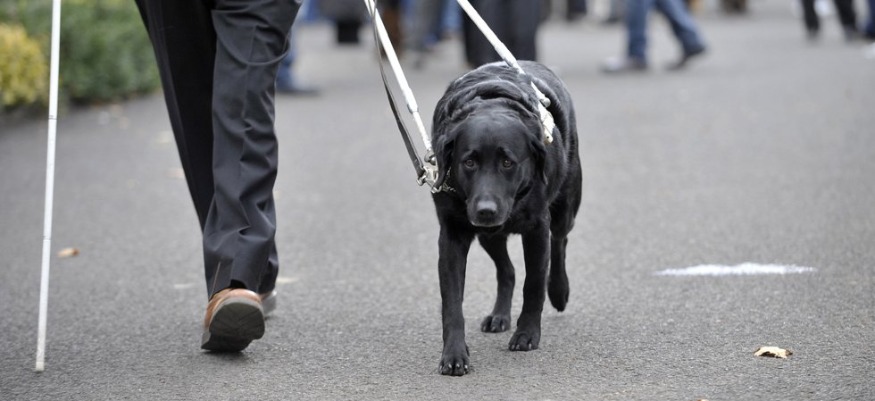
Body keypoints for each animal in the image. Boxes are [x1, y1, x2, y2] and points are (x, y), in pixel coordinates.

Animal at [430, 60, 582, 376]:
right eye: (469, 162)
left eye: (508, 162)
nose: (485, 210)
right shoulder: (452, 234)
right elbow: (452, 302)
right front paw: (454, 354)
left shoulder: (537, 229)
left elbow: (533, 284)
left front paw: (527, 335)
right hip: (488, 234)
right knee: (507, 270)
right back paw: (499, 316)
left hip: (565, 207)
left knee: (560, 242)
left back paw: (559, 290)